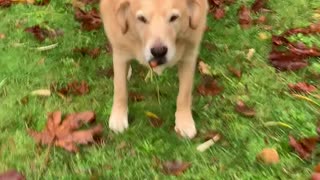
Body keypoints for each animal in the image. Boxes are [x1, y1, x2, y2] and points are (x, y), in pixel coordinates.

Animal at [101, 0, 209, 139]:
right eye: (142, 19)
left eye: (173, 18)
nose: (158, 52)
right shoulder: (120, 51)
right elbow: (120, 89)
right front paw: (118, 117)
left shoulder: (189, 56)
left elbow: (184, 94)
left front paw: (184, 122)